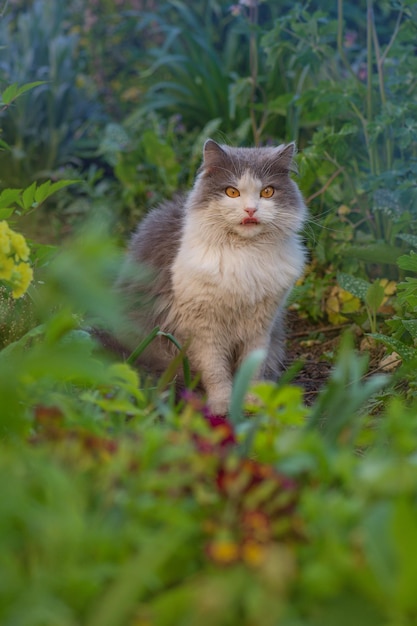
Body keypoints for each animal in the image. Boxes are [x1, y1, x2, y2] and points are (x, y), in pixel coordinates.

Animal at [116, 140, 306, 414]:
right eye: (232, 192)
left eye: (268, 192)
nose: (251, 209)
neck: (245, 255)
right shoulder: (204, 328)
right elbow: (215, 371)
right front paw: (222, 406)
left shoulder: (260, 326)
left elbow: (253, 368)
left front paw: (252, 400)